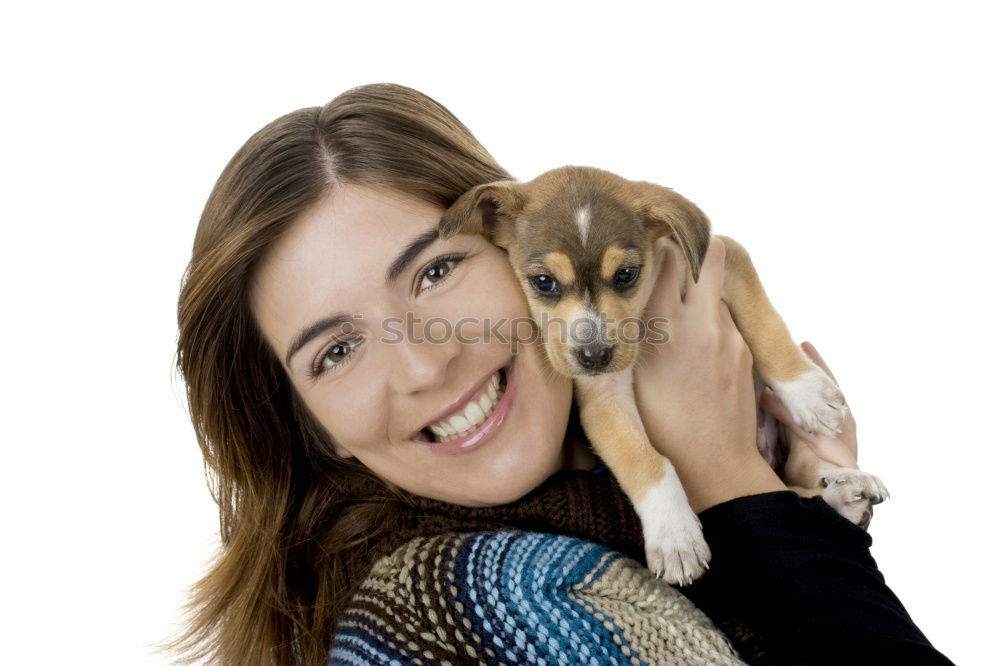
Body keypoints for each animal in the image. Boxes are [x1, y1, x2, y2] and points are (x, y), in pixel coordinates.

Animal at [440, 166, 892, 580]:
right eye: (543, 282)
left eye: (626, 275)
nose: (594, 356)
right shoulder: (603, 402)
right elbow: (646, 462)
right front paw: (674, 536)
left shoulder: (731, 259)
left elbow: (765, 326)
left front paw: (807, 393)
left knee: (803, 471)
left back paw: (850, 483)